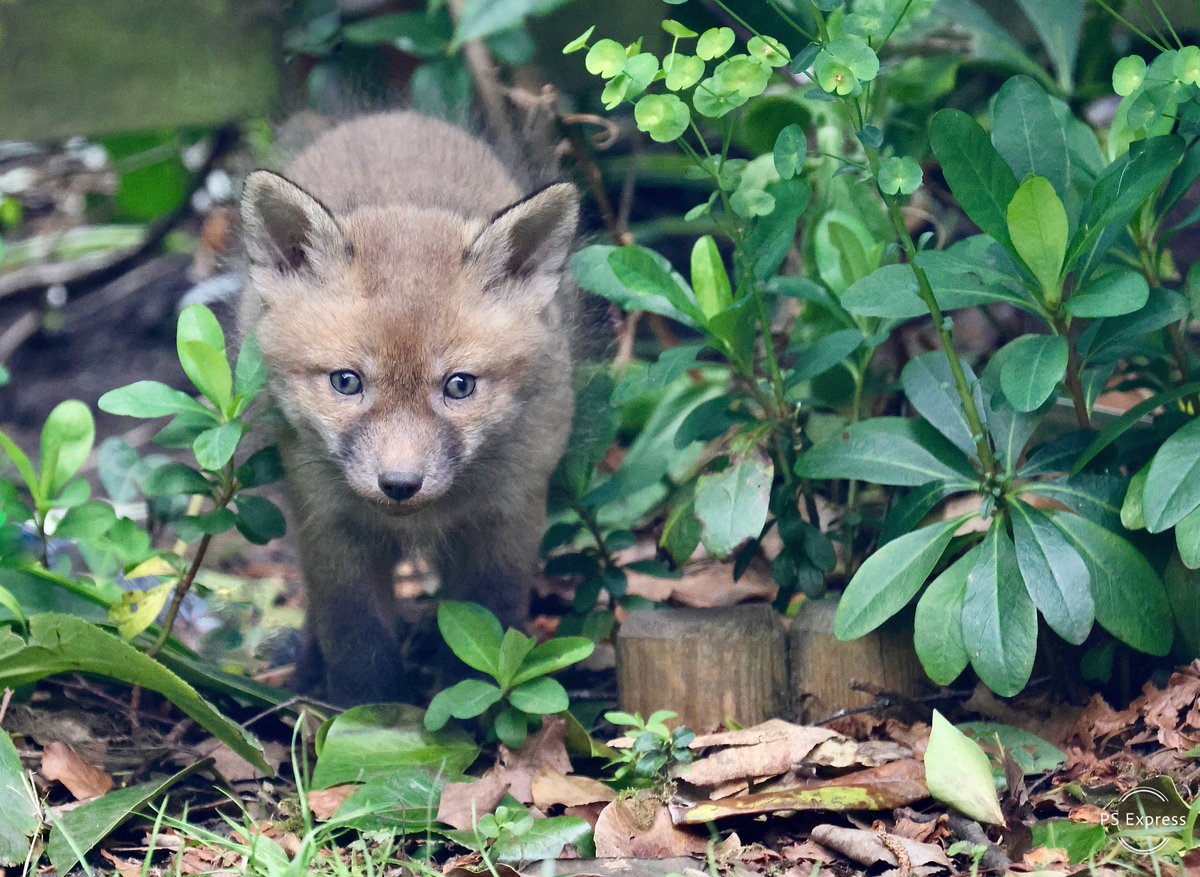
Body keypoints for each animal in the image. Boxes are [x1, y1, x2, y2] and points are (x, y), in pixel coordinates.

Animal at [238, 112, 579, 705]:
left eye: (459, 387)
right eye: (346, 382)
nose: (399, 484)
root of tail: (393, 116)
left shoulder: (507, 518)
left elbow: (484, 642)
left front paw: (474, 720)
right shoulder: (329, 523)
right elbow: (359, 644)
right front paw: (368, 718)